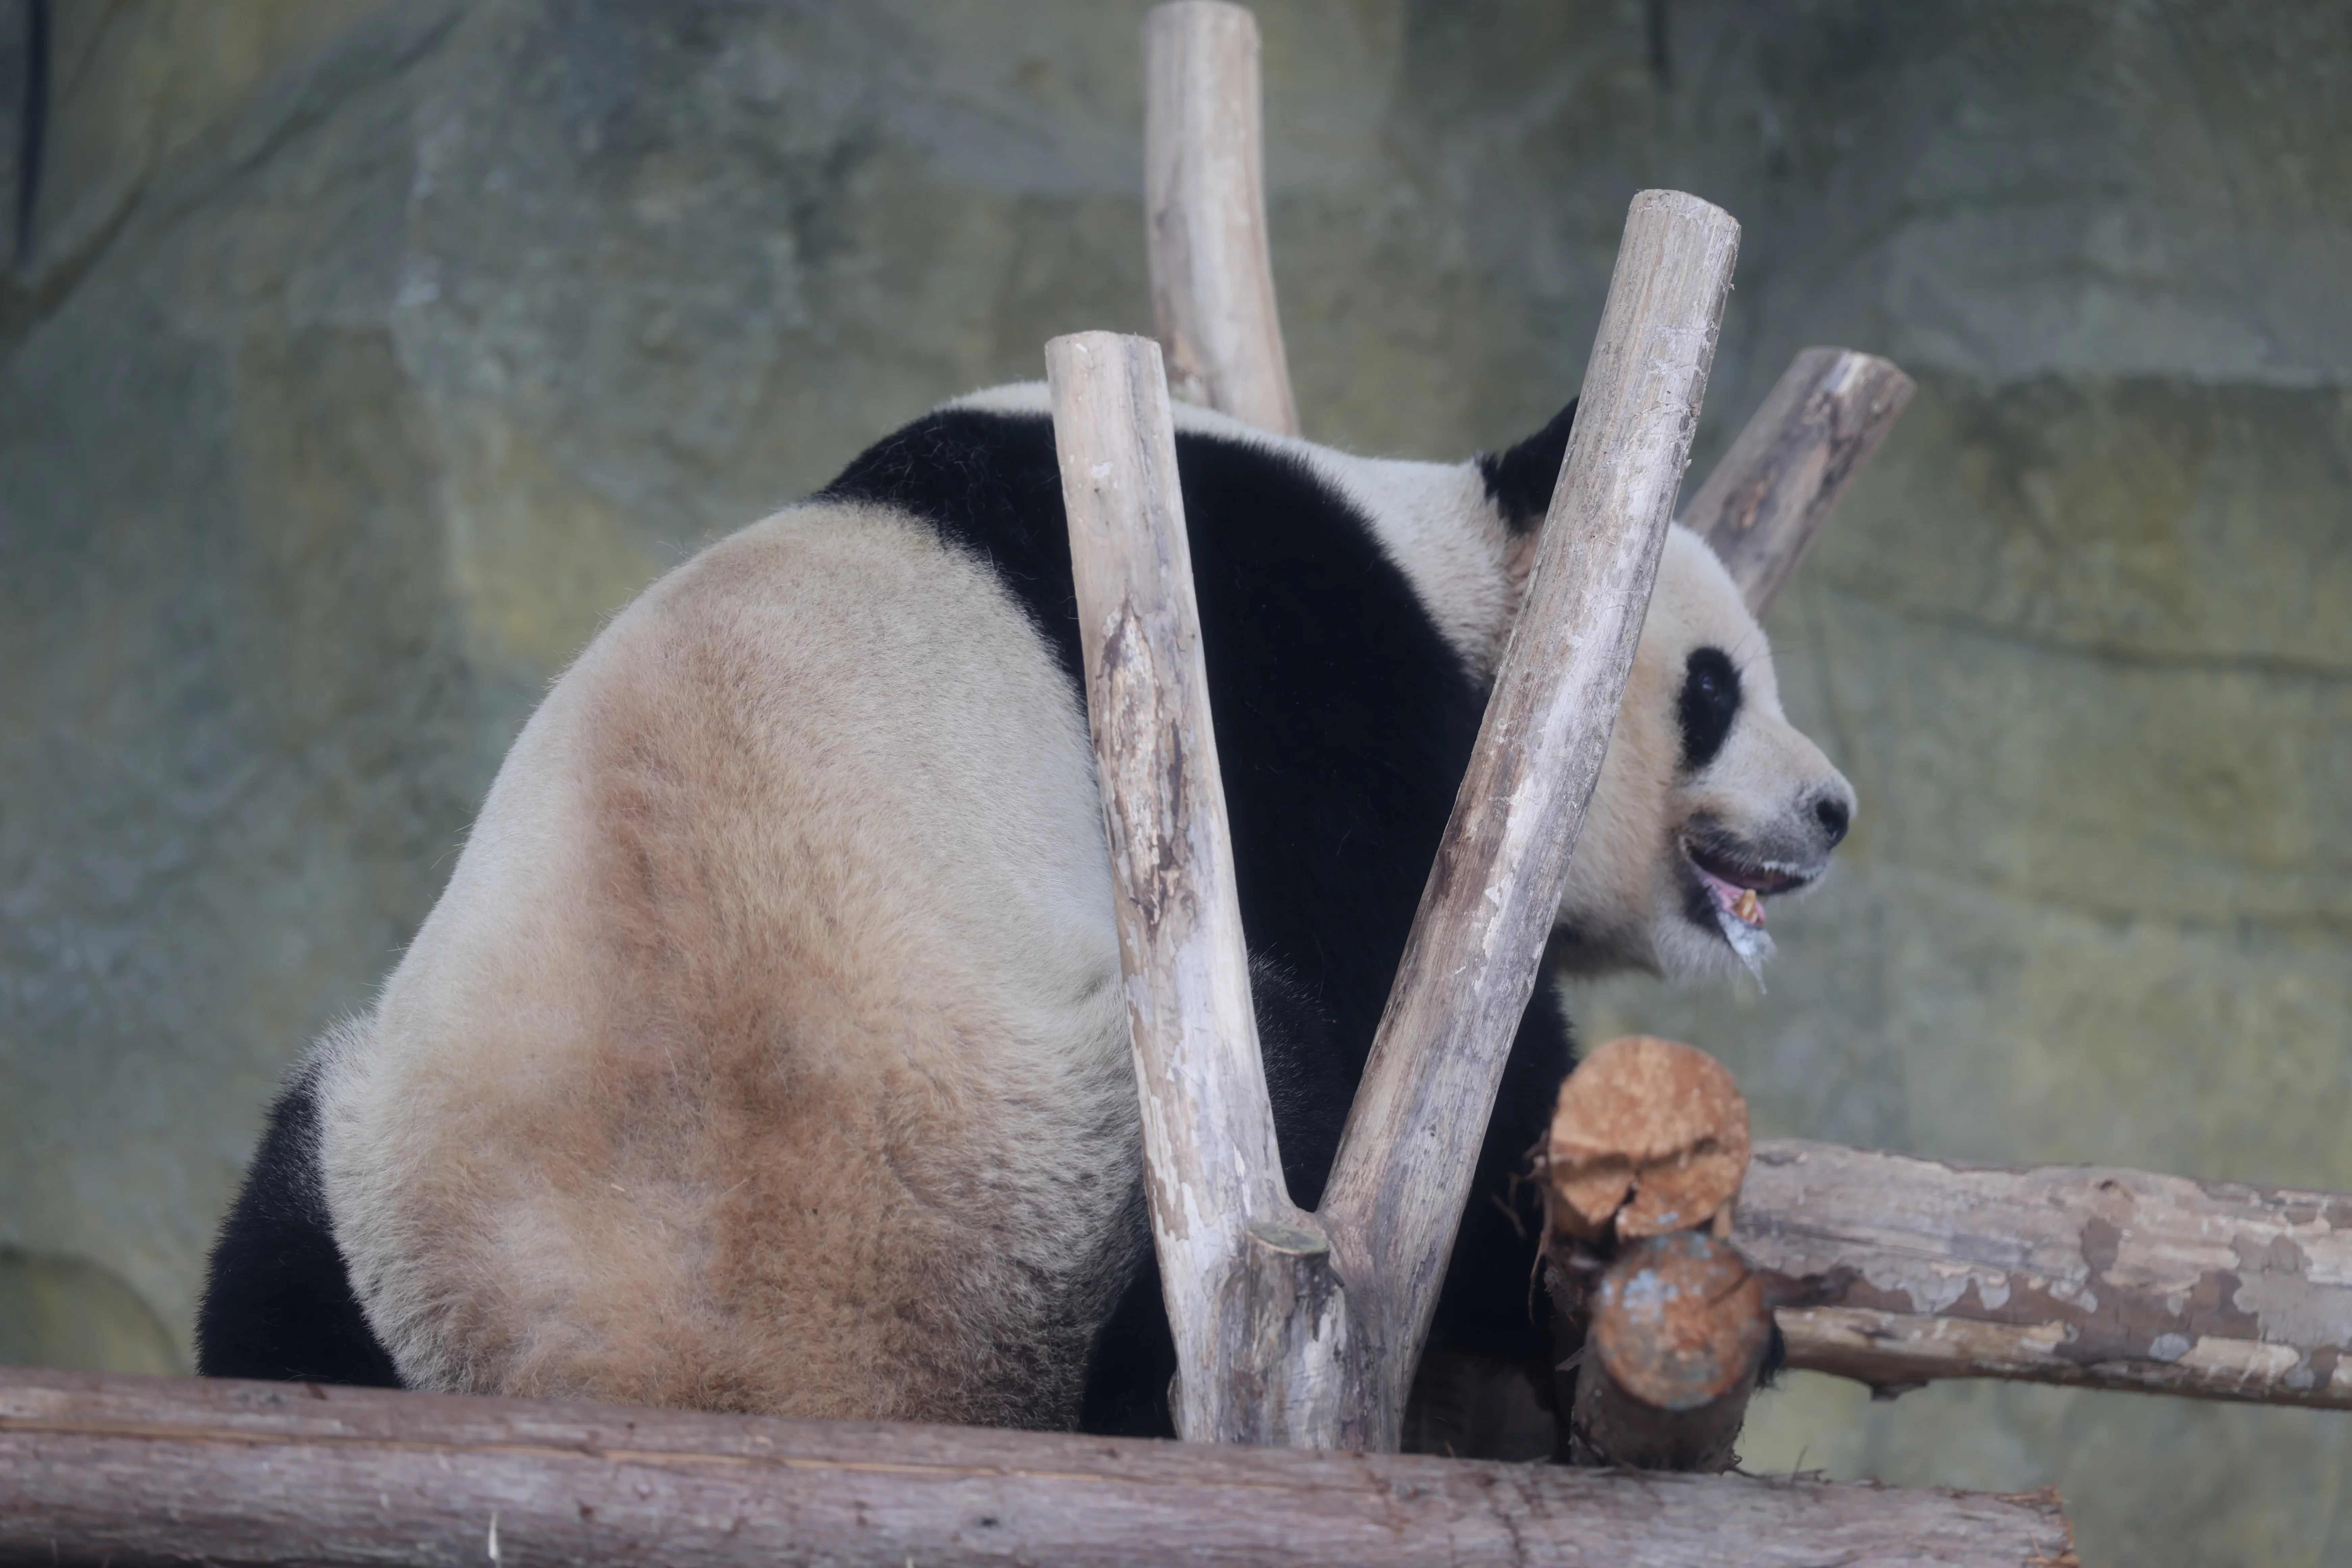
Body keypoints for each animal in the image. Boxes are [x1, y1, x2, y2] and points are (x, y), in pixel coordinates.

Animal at [196, 383, 1855, 1452]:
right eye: (1717, 686)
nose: (1833, 807)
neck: (1440, 563)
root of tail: (699, 1377)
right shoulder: (1275, 653)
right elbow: (1410, 1002)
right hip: (1026, 1178)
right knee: (1281, 1076)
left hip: (391, 1190)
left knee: (271, 1245)